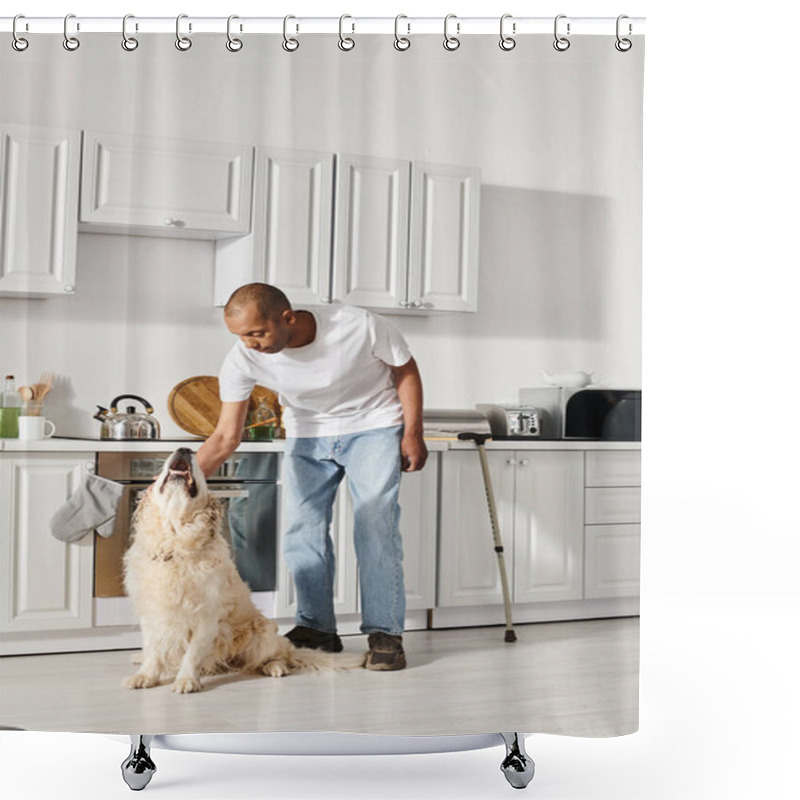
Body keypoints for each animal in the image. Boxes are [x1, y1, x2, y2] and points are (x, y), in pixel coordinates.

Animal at [124, 446, 366, 692]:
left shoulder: (206, 616)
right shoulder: (152, 612)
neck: (176, 543)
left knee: (279, 656)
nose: (184, 449)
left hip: (262, 633)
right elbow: (153, 650)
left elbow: (192, 654)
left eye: (200, 467)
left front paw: (186, 680)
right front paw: (146, 675)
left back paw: (275, 667)